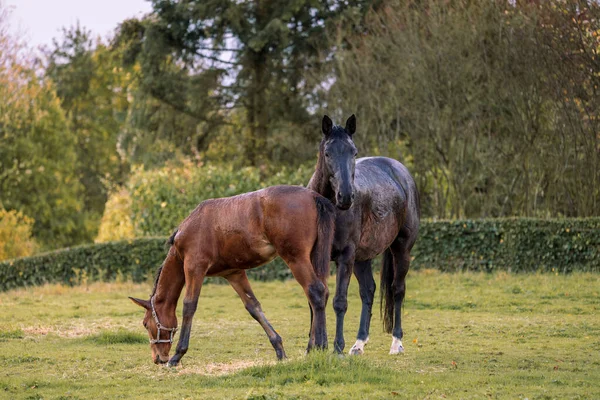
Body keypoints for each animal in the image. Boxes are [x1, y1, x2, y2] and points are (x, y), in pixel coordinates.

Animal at [129, 184, 336, 366]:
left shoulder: (194, 268)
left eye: (145, 324)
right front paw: (279, 350)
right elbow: (253, 307)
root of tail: (313, 196)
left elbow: (189, 306)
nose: (158, 358)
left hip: (295, 258)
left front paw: (177, 355)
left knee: (316, 292)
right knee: (322, 293)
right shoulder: (234, 274)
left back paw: (320, 346)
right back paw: (312, 348)